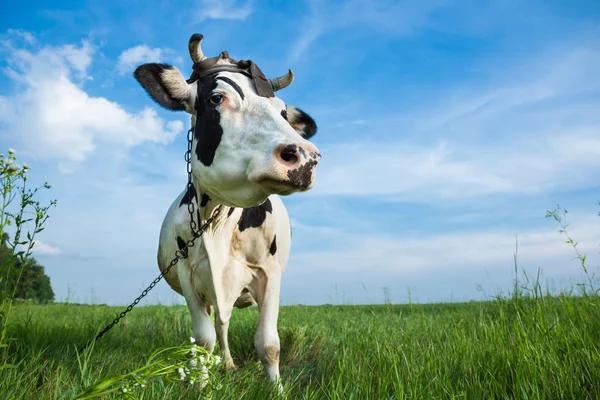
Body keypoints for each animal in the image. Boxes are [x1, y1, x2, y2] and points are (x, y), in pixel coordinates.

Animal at [134, 35, 322, 388]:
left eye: (282, 111)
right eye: (216, 98)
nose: (305, 156)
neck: (219, 224)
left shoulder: (269, 273)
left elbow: (269, 344)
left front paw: (276, 389)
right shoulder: (187, 274)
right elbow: (203, 338)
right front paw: (201, 385)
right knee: (217, 326)